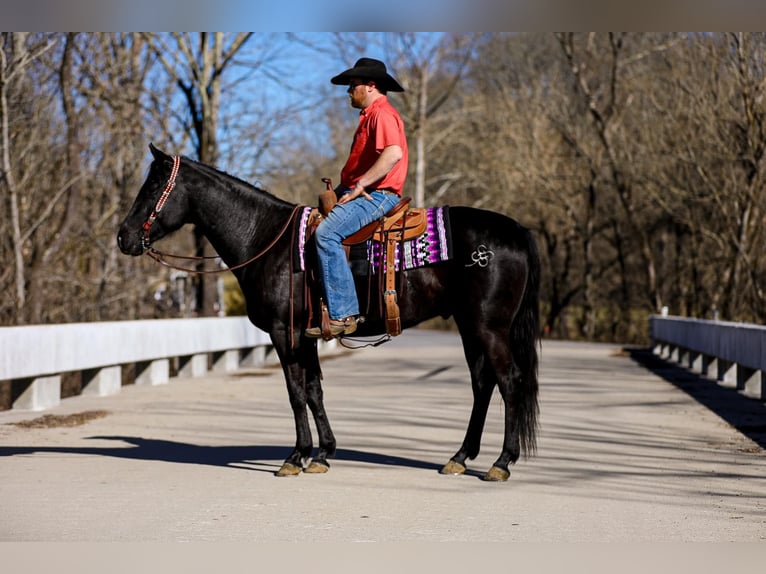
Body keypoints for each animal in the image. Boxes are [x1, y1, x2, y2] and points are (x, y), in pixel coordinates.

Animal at [117, 145, 544, 482]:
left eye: (152, 187)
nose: (123, 237)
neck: (265, 237)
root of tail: (517, 230)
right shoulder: (306, 337)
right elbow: (314, 390)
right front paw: (323, 453)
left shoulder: (284, 334)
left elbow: (295, 392)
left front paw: (296, 457)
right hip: (469, 325)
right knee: (482, 384)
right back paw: (459, 457)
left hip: (489, 327)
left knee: (509, 381)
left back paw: (501, 463)